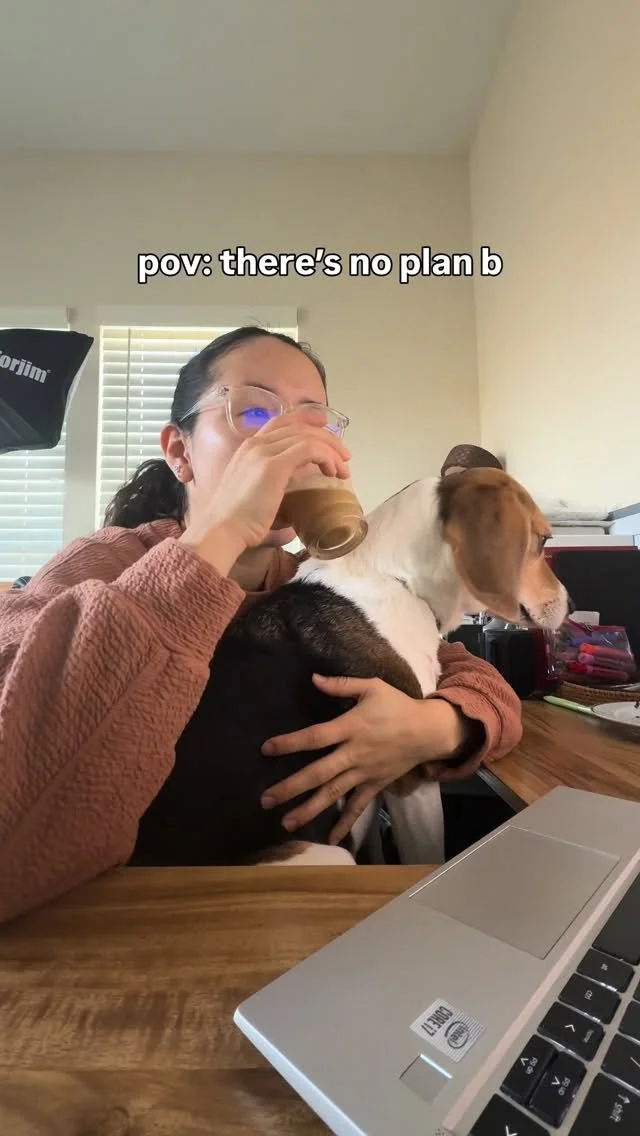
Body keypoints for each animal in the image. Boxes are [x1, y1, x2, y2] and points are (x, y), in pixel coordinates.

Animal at [131, 468, 568, 868]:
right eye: (543, 541)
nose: (571, 601)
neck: (397, 579)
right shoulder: (409, 773)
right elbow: (427, 854)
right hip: (326, 854)